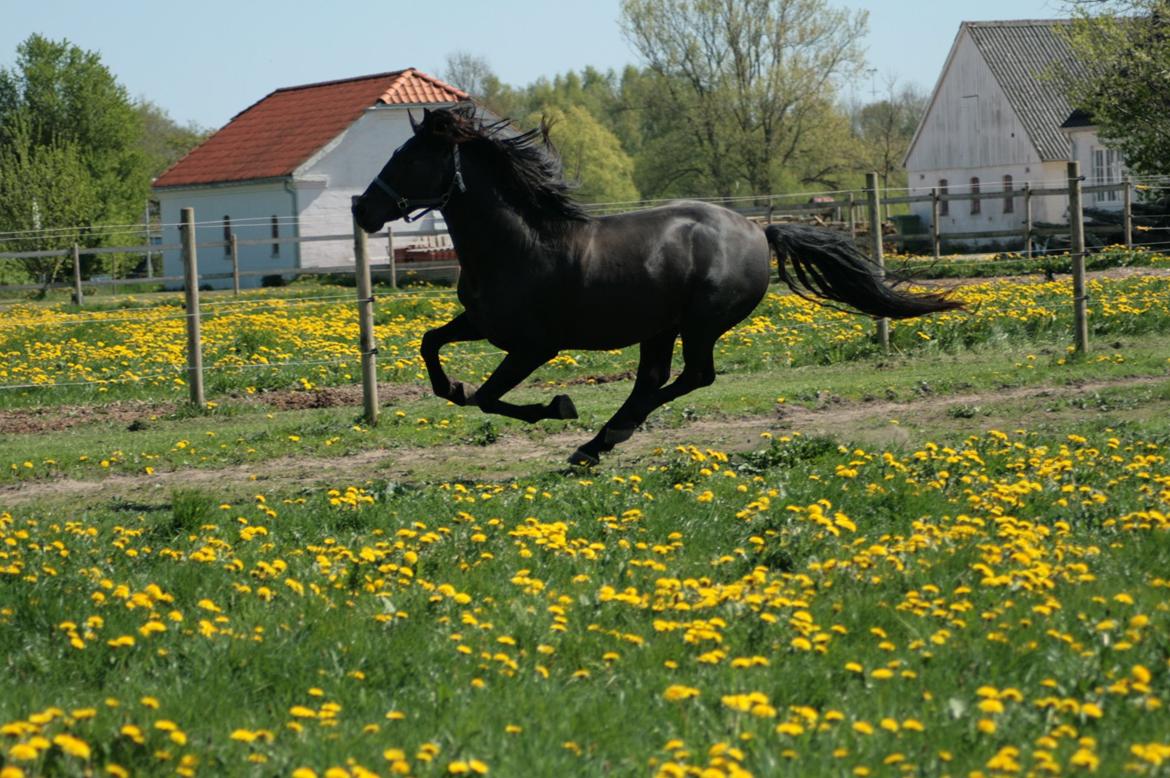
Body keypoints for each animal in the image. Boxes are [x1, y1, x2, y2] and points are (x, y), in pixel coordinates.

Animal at [353, 105, 959, 463]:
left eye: (409, 158)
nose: (362, 209)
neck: (520, 244)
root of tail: (758, 230)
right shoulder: (483, 322)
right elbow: (432, 348)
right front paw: (453, 387)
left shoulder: (535, 346)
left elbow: (487, 397)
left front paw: (559, 406)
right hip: (660, 328)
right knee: (658, 380)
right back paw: (598, 444)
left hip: (698, 324)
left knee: (691, 377)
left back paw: (602, 438)